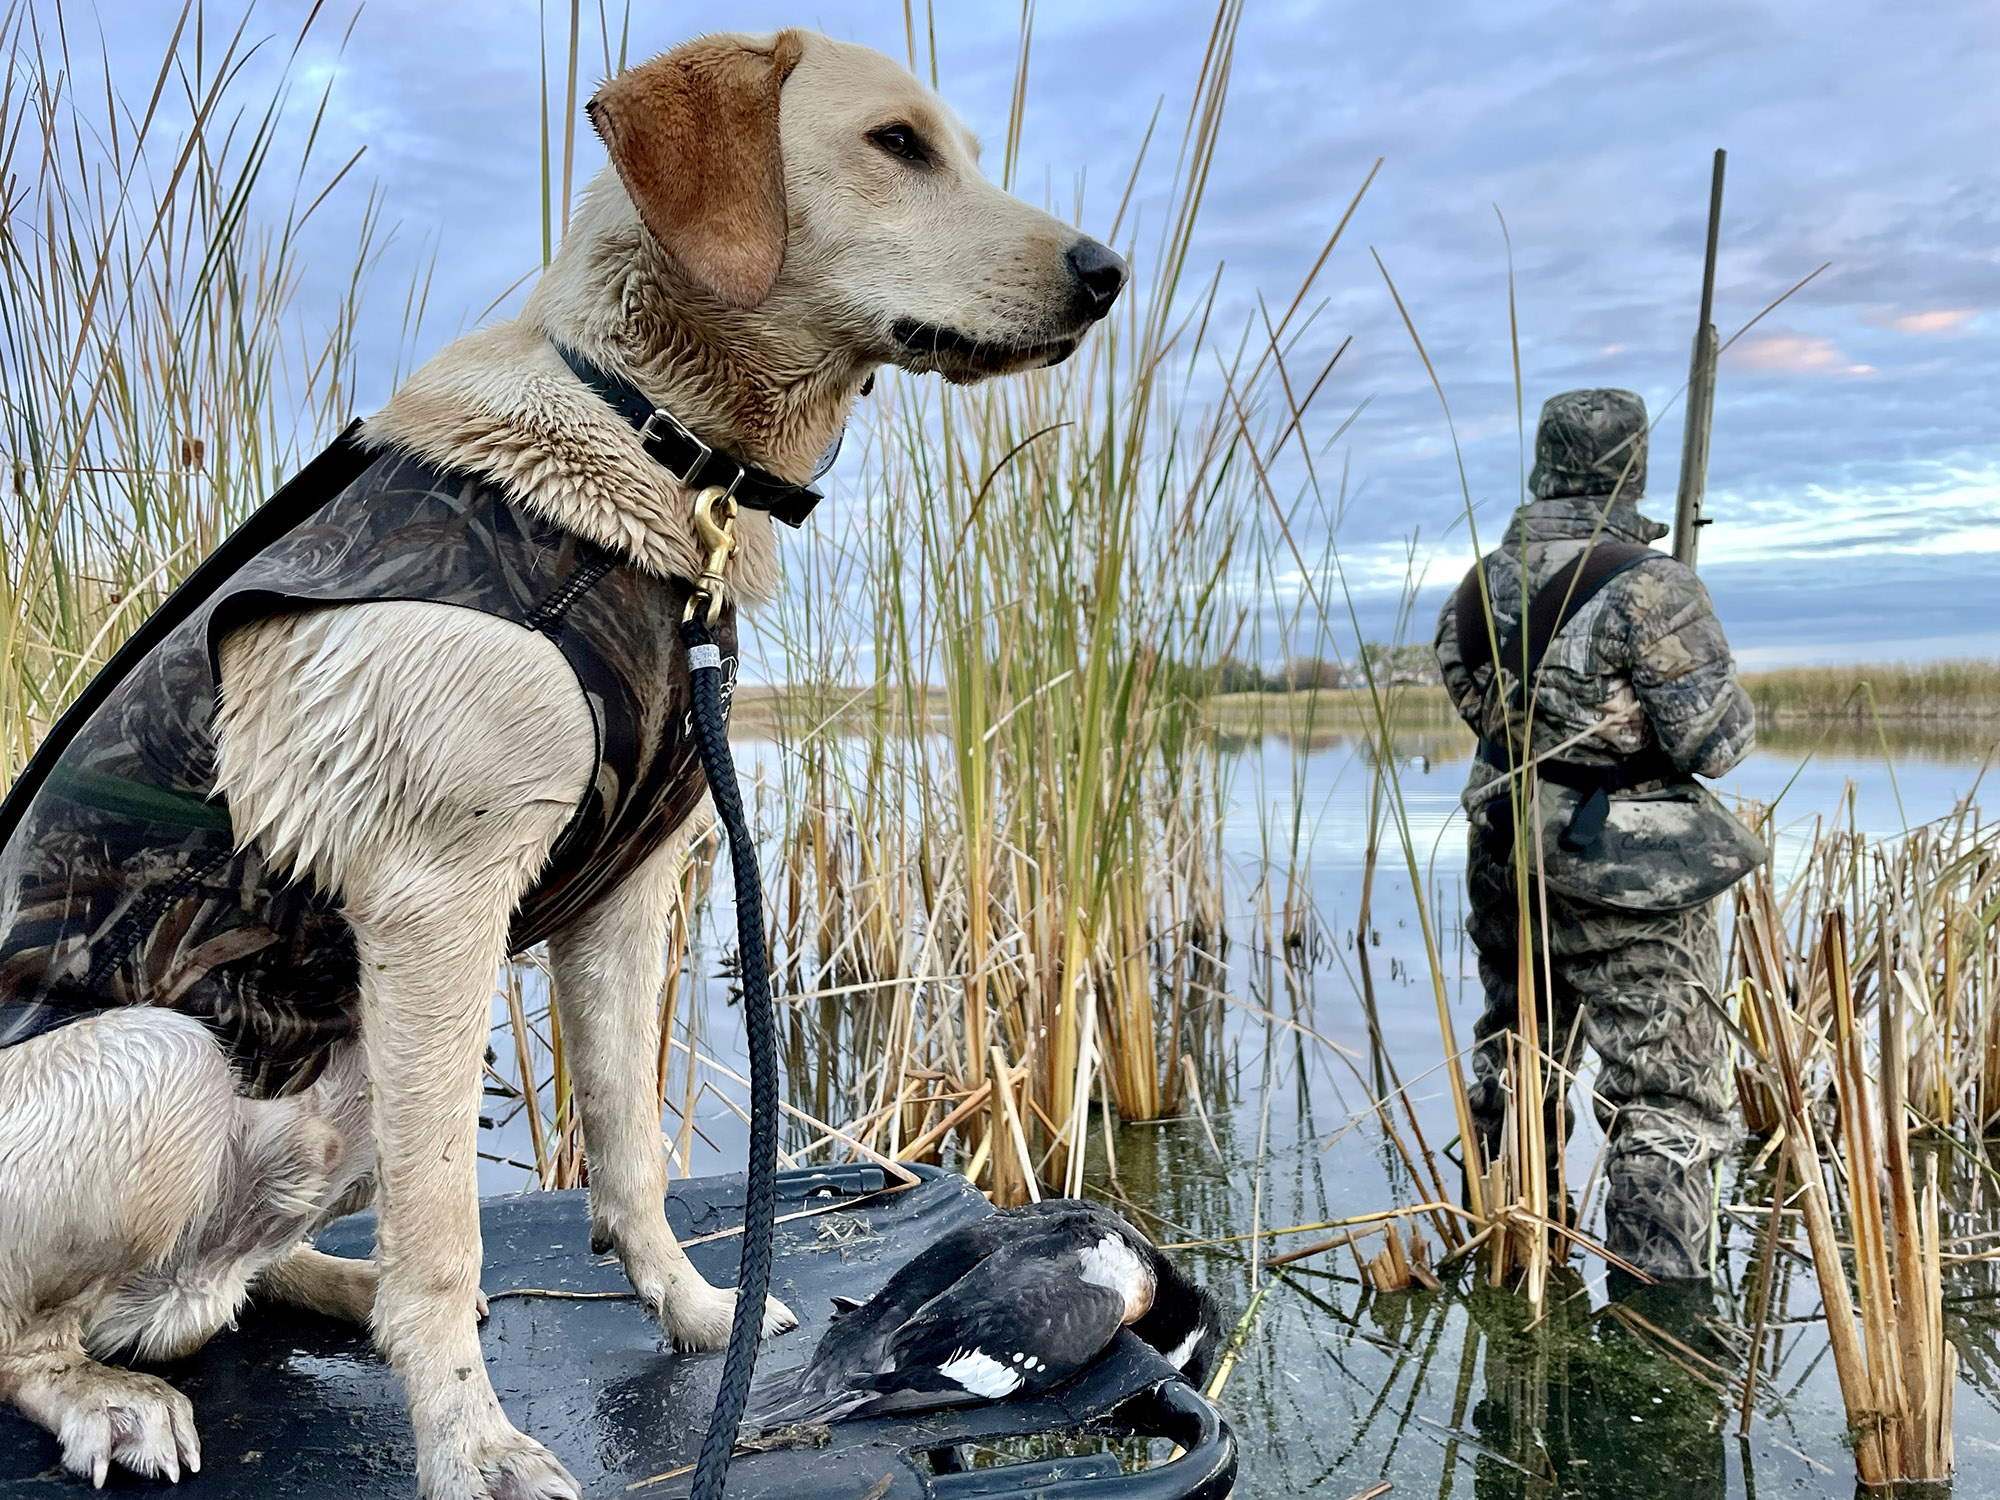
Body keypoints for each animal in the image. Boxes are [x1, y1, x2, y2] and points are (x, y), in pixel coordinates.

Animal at [0, 26, 1128, 1500]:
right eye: (897, 145)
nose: (1104, 273)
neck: (653, 443)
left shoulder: (624, 899)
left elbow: (630, 1151)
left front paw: (694, 1314)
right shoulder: (437, 905)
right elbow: (447, 1229)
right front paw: (470, 1444)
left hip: (345, 1082)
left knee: (231, 1279)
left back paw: (330, 1289)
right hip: (174, 1059)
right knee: (39, 1334)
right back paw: (112, 1396)